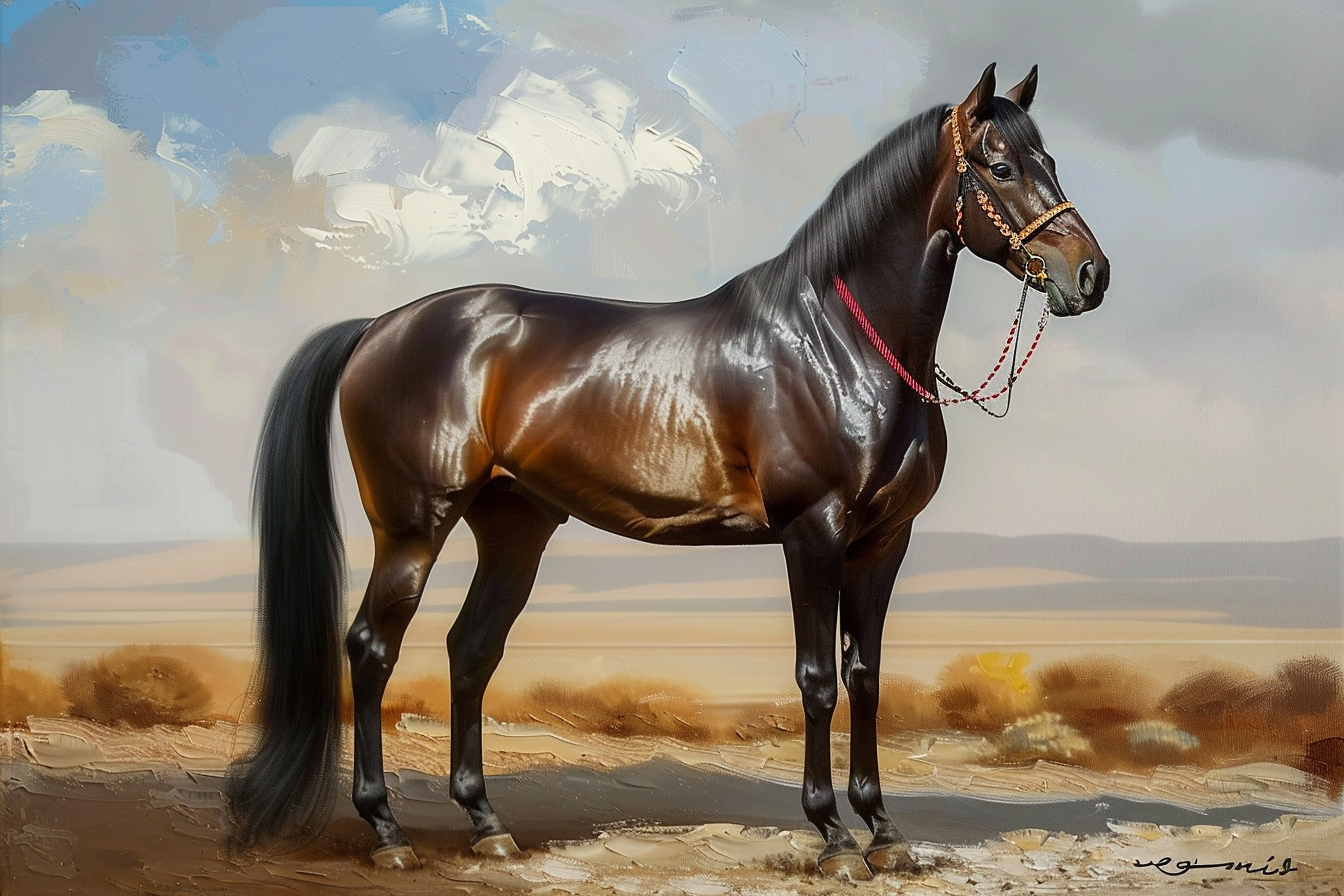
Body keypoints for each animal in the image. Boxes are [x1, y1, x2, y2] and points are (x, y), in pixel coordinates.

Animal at [226, 63, 1108, 880]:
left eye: (1051, 159)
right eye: (1002, 167)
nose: (1091, 275)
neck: (838, 342)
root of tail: (379, 325)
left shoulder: (883, 543)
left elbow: (866, 679)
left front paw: (884, 833)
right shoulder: (813, 533)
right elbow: (818, 679)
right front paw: (832, 837)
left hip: (514, 527)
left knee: (471, 651)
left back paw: (487, 826)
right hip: (413, 527)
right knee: (373, 649)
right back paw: (387, 833)